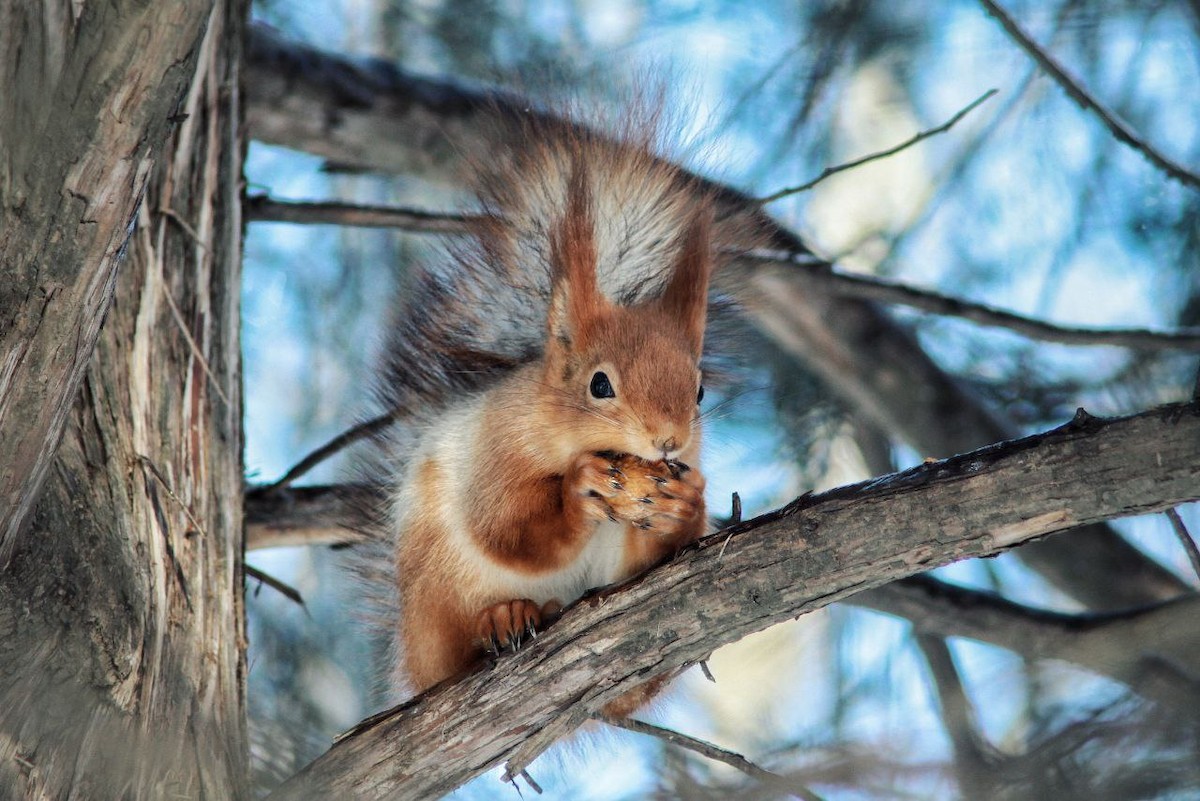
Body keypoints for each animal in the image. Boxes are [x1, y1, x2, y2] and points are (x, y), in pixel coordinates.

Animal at [373, 111, 733, 711]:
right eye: (600, 384)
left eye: (700, 391)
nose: (669, 440)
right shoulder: (498, 446)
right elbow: (505, 528)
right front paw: (576, 491)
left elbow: (645, 564)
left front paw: (686, 503)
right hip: (437, 595)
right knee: (456, 646)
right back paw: (505, 616)